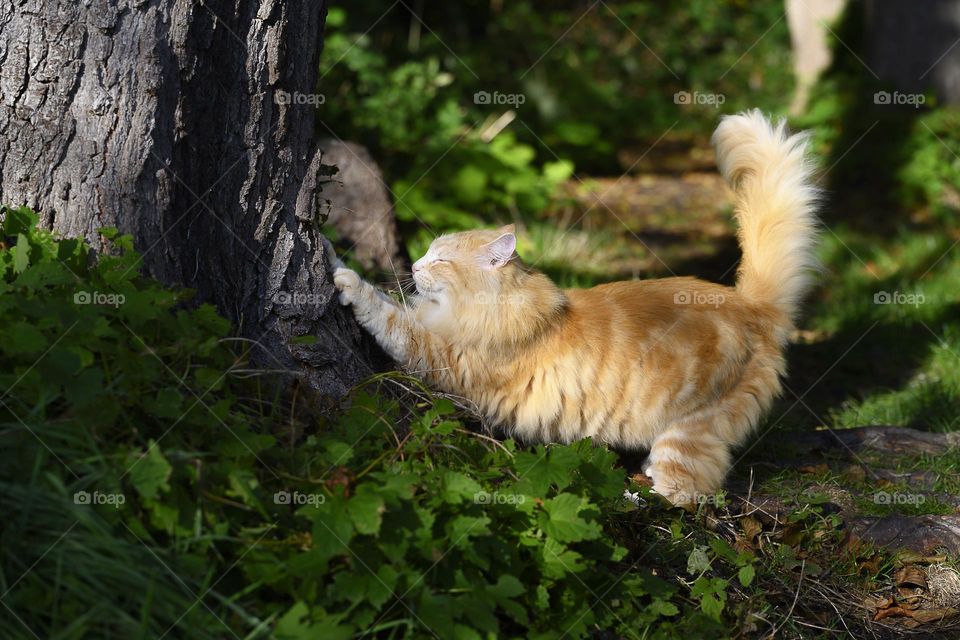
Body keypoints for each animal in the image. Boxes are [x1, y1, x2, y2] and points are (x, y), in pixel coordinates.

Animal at [330, 112, 816, 508]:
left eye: (441, 259)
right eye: (427, 253)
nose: (412, 264)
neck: (498, 308)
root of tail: (750, 304)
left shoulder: (442, 354)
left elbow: (388, 315)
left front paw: (343, 272)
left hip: (690, 430)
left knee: (688, 495)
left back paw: (636, 498)